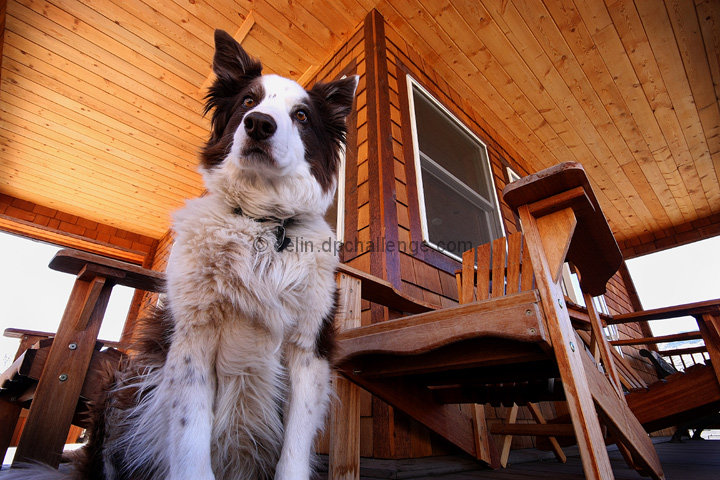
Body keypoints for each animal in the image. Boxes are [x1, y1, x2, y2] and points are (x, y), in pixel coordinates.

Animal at [3, 31, 354, 480]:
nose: (259, 124)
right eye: (248, 100)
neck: (260, 222)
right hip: (121, 384)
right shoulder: (192, 341)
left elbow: (293, 450)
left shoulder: (309, 350)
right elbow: (190, 442)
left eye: (302, 116)